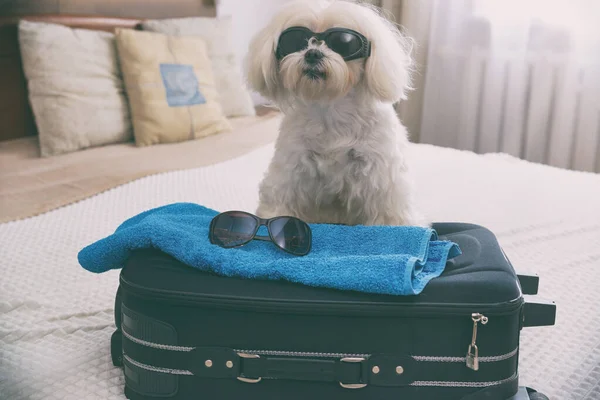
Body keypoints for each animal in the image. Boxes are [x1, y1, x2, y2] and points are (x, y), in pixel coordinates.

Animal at [246, 0, 428, 225]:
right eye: (295, 40)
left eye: (344, 43)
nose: (312, 53)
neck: (331, 106)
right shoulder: (290, 171)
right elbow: (279, 203)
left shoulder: (382, 177)